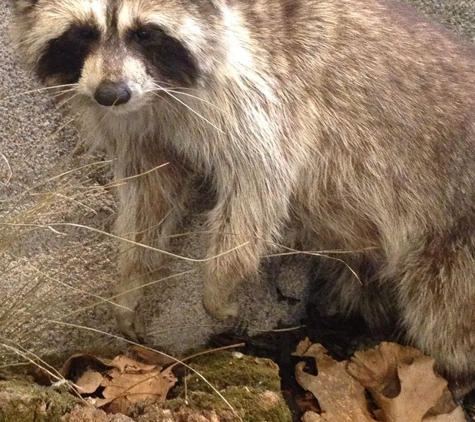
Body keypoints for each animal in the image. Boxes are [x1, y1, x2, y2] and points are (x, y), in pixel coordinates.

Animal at [8, 0, 475, 390]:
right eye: (82, 34)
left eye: (145, 33)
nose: (111, 93)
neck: (160, 92)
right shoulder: (139, 124)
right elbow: (150, 195)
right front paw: (132, 278)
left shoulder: (259, 97)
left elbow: (258, 188)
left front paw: (220, 280)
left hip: (454, 231)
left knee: (446, 314)